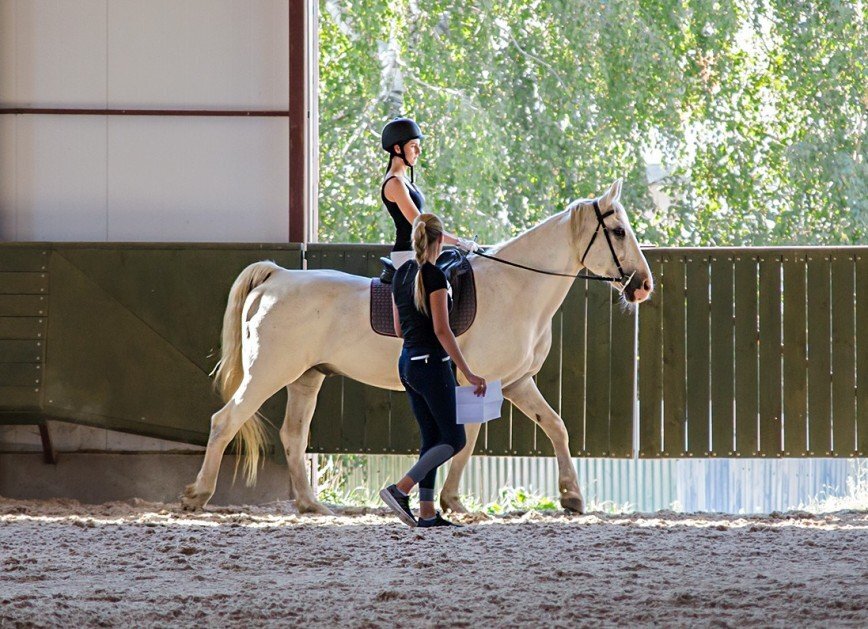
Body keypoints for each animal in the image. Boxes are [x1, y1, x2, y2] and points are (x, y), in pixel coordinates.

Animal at [181, 179, 652, 512]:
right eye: (617, 231)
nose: (643, 286)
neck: (516, 287)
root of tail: (278, 277)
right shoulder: (479, 380)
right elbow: (468, 438)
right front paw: (454, 501)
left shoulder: (517, 382)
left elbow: (555, 426)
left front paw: (571, 496)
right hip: (269, 372)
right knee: (226, 421)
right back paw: (197, 495)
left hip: (307, 378)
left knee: (293, 435)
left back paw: (311, 504)